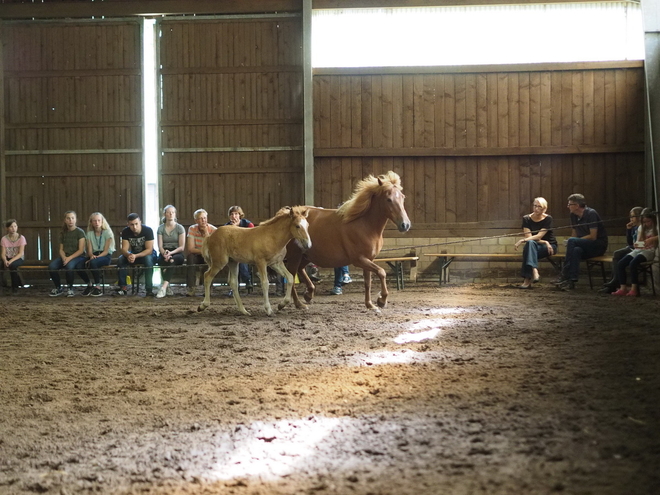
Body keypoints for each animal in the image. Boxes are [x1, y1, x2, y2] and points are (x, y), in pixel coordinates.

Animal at [286, 170, 410, 310]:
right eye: (388, 199)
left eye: (402, 197)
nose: (405, 225)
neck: (365, 224)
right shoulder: (359, 260)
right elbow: (381, 272)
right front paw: (381, 300)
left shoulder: (369, 259)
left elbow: (368, 282)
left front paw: (370, 304)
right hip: (295, 256)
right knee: (291, 277)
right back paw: (299, 303)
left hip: (306, 256)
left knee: (300, 270)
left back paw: (309, 293)